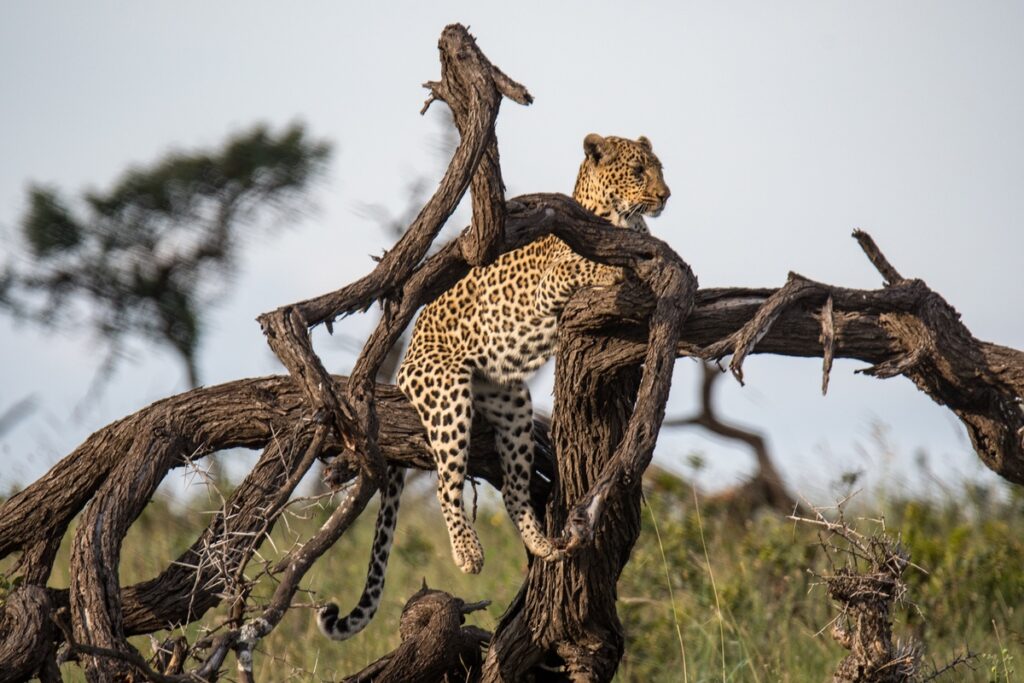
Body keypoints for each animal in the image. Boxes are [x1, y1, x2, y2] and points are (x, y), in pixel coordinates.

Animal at [318, 133, 670, 641]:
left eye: (659, 169)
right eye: (639, 171)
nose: (665, 196)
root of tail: (402, 366)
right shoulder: (552, 281)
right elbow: (587, 268)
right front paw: (617, 271)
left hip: (514, 406)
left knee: (515, 492)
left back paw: (543, 543)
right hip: (448, 397)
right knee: (446, 483)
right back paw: (468, 553)